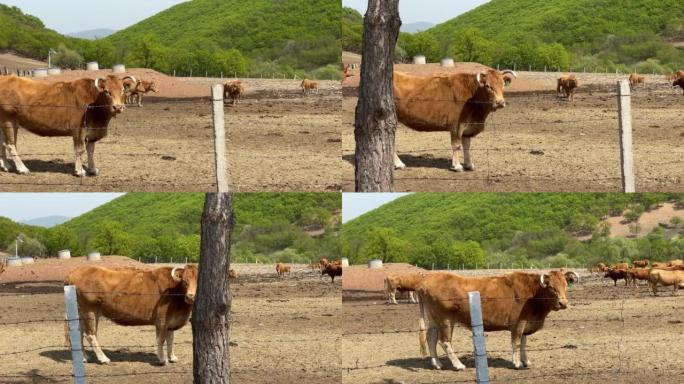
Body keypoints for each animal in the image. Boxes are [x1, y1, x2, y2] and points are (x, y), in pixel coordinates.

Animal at [63, 266, 198, 364]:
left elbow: (170, 339)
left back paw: (83, 357)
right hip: (90, 310)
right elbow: (161, 339)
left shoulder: (171, 321)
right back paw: (103, 358)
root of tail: (73, 272)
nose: (191, 296)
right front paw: (161, 359)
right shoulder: (161, 320)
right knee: (90, 334)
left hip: (80, 312)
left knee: (79, 333)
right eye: (185, 282)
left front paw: (172, 357)